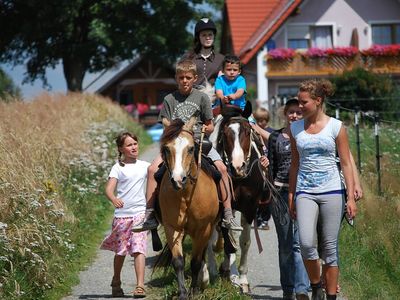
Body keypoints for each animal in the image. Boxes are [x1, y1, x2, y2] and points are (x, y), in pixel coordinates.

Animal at [156, 116, 219, 298]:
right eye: (166, 149)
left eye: (191, 149)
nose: (178, 179)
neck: (186, 195)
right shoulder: (172, 227)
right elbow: (178, 261)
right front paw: (183, 293)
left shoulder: (203, 229)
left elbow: (196, 261)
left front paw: (194, 290)